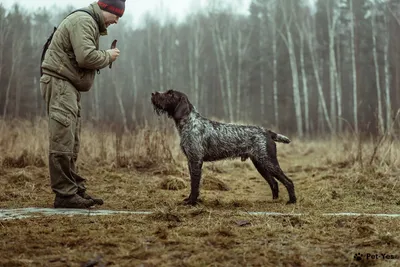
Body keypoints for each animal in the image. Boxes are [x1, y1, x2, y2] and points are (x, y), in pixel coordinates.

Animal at [152, 91, 296, 206]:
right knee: (274, 183)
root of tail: (267, 132)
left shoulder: (195, 160)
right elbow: (194, 184)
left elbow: (194, 185)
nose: (153, 93)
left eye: (170, 94)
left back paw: (292, 201)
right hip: (260, 163)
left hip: (268, 161)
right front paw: (189, 200)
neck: (189, 123)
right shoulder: (190, 161)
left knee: (288, 181)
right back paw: (274, 201)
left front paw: (192, 202)